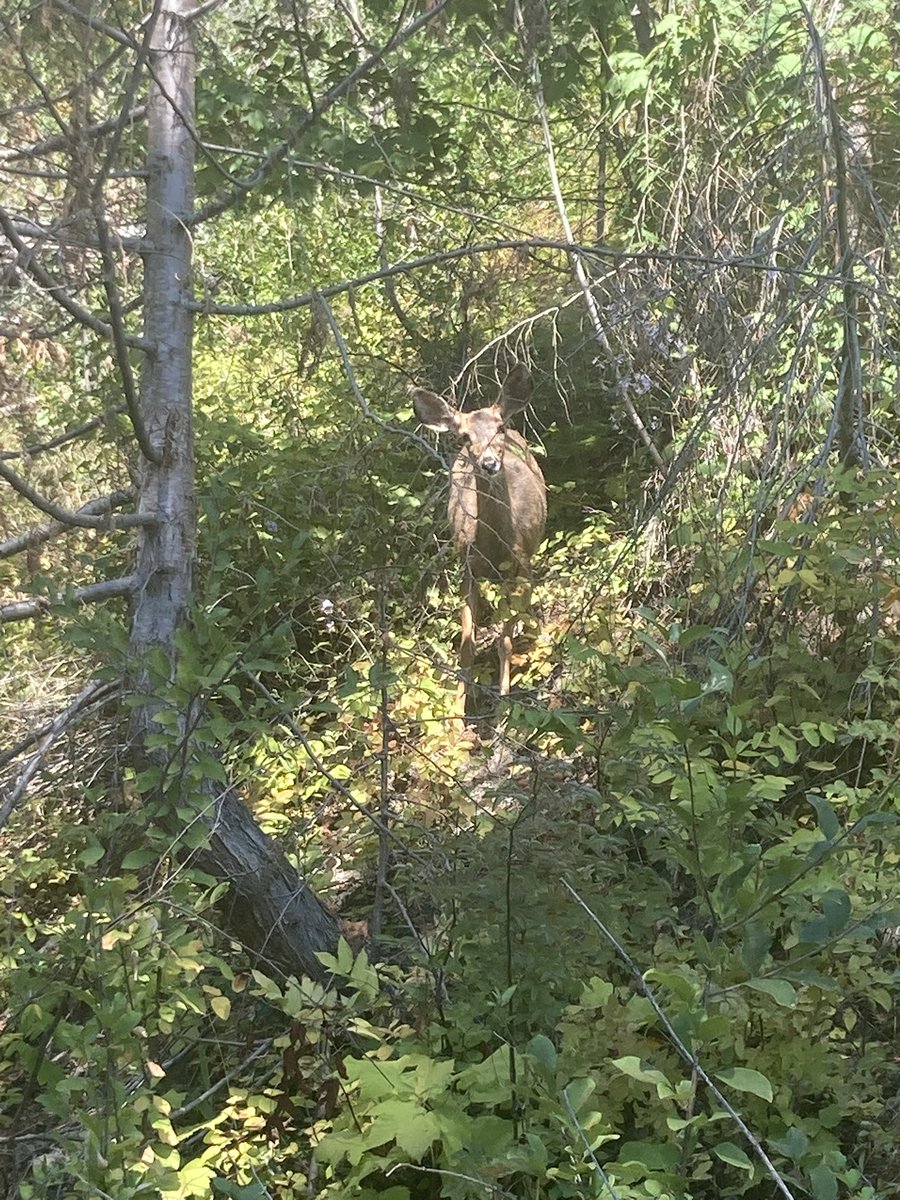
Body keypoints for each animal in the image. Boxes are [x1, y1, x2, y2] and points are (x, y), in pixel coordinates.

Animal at [412, 364, 547, 717]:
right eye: (464, 436)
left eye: (498, 428)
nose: (488, 464)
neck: (496, 547)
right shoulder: (468, 568)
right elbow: (466, 646)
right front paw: (458, 717)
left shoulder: (520, 566)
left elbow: (505, 641)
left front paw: (503, 707)